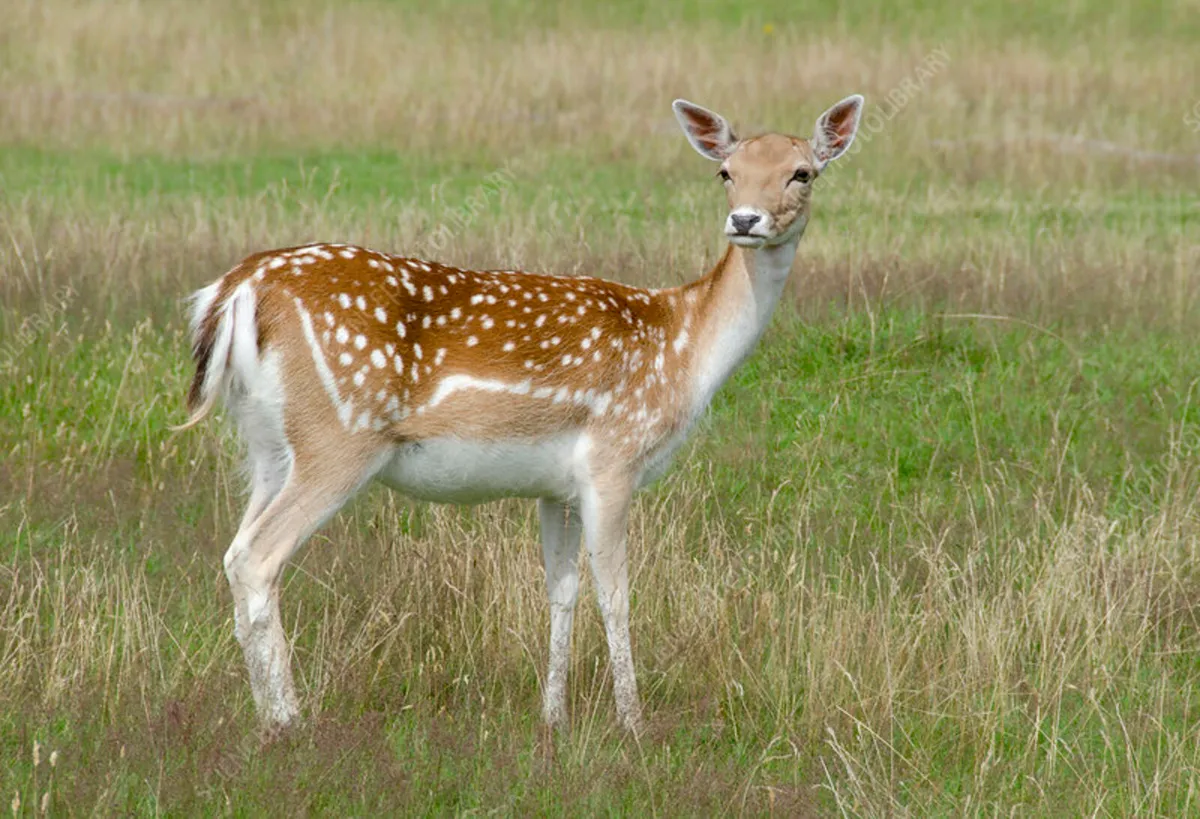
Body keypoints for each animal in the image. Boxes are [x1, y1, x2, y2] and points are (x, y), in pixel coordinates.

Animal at [175, 94, 864, 735]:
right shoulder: (613, 457)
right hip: (339, 436)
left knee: (235, 553)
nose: (745, 220)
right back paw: (289, 720)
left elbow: (562, 590)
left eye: (802, 173)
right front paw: (632, 724)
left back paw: (266, 714)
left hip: (267, 444)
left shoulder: (556, 486)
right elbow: (616, 593)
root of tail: (236, 291)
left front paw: (553, 719)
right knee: (258, 558)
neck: (682, 346)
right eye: (726, 170)